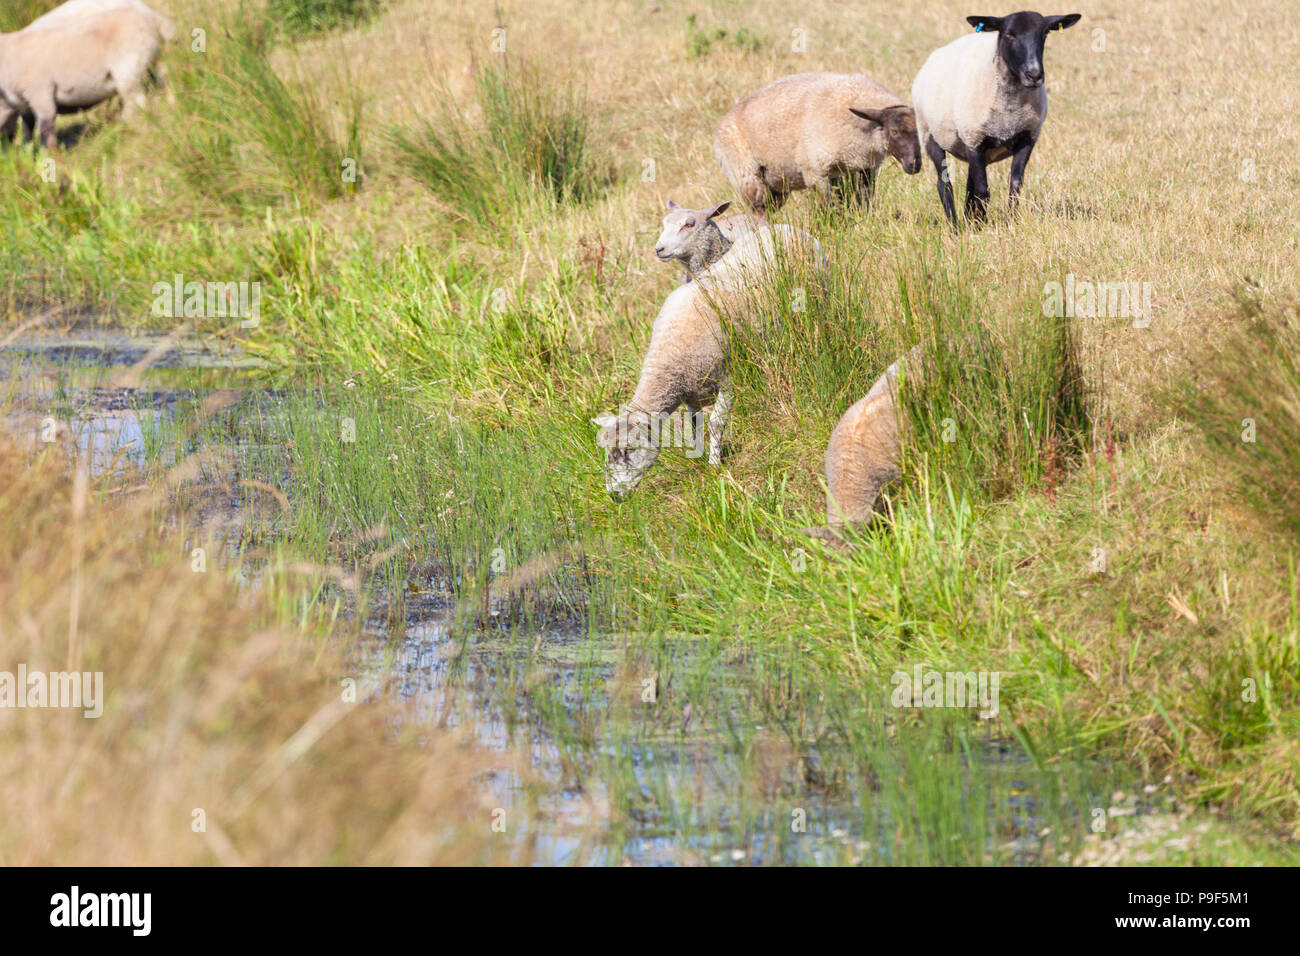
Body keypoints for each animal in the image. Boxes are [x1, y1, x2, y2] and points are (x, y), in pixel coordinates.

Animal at [0, 2, 172, 148]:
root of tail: (153, 18)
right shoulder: (24, 104)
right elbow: (27, 130)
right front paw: (29, 153)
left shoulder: (40, 93)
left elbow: (45, 128)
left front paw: (48, 154)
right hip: (153, 59)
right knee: (164, 78)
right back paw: (171, 102)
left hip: (129, 66)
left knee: (136, 101)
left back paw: (127, 125)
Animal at [595, 225, 821, 502]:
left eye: (627, 450)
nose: (614, 496)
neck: (667, 360)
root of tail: (787, 227)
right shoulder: (692, 393)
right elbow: (695, 427)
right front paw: (700, 458)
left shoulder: (729, 378)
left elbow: (715, 425)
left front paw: (714, 466)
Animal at [712, 71, 925, 214]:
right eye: (894, 132)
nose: (914, 164)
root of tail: (722, 123)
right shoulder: (815, 172)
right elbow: (830, 207)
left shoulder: (865, 169)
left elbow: (863, 201)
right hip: (747, 177)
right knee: (759, 210)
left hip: (775, 184)